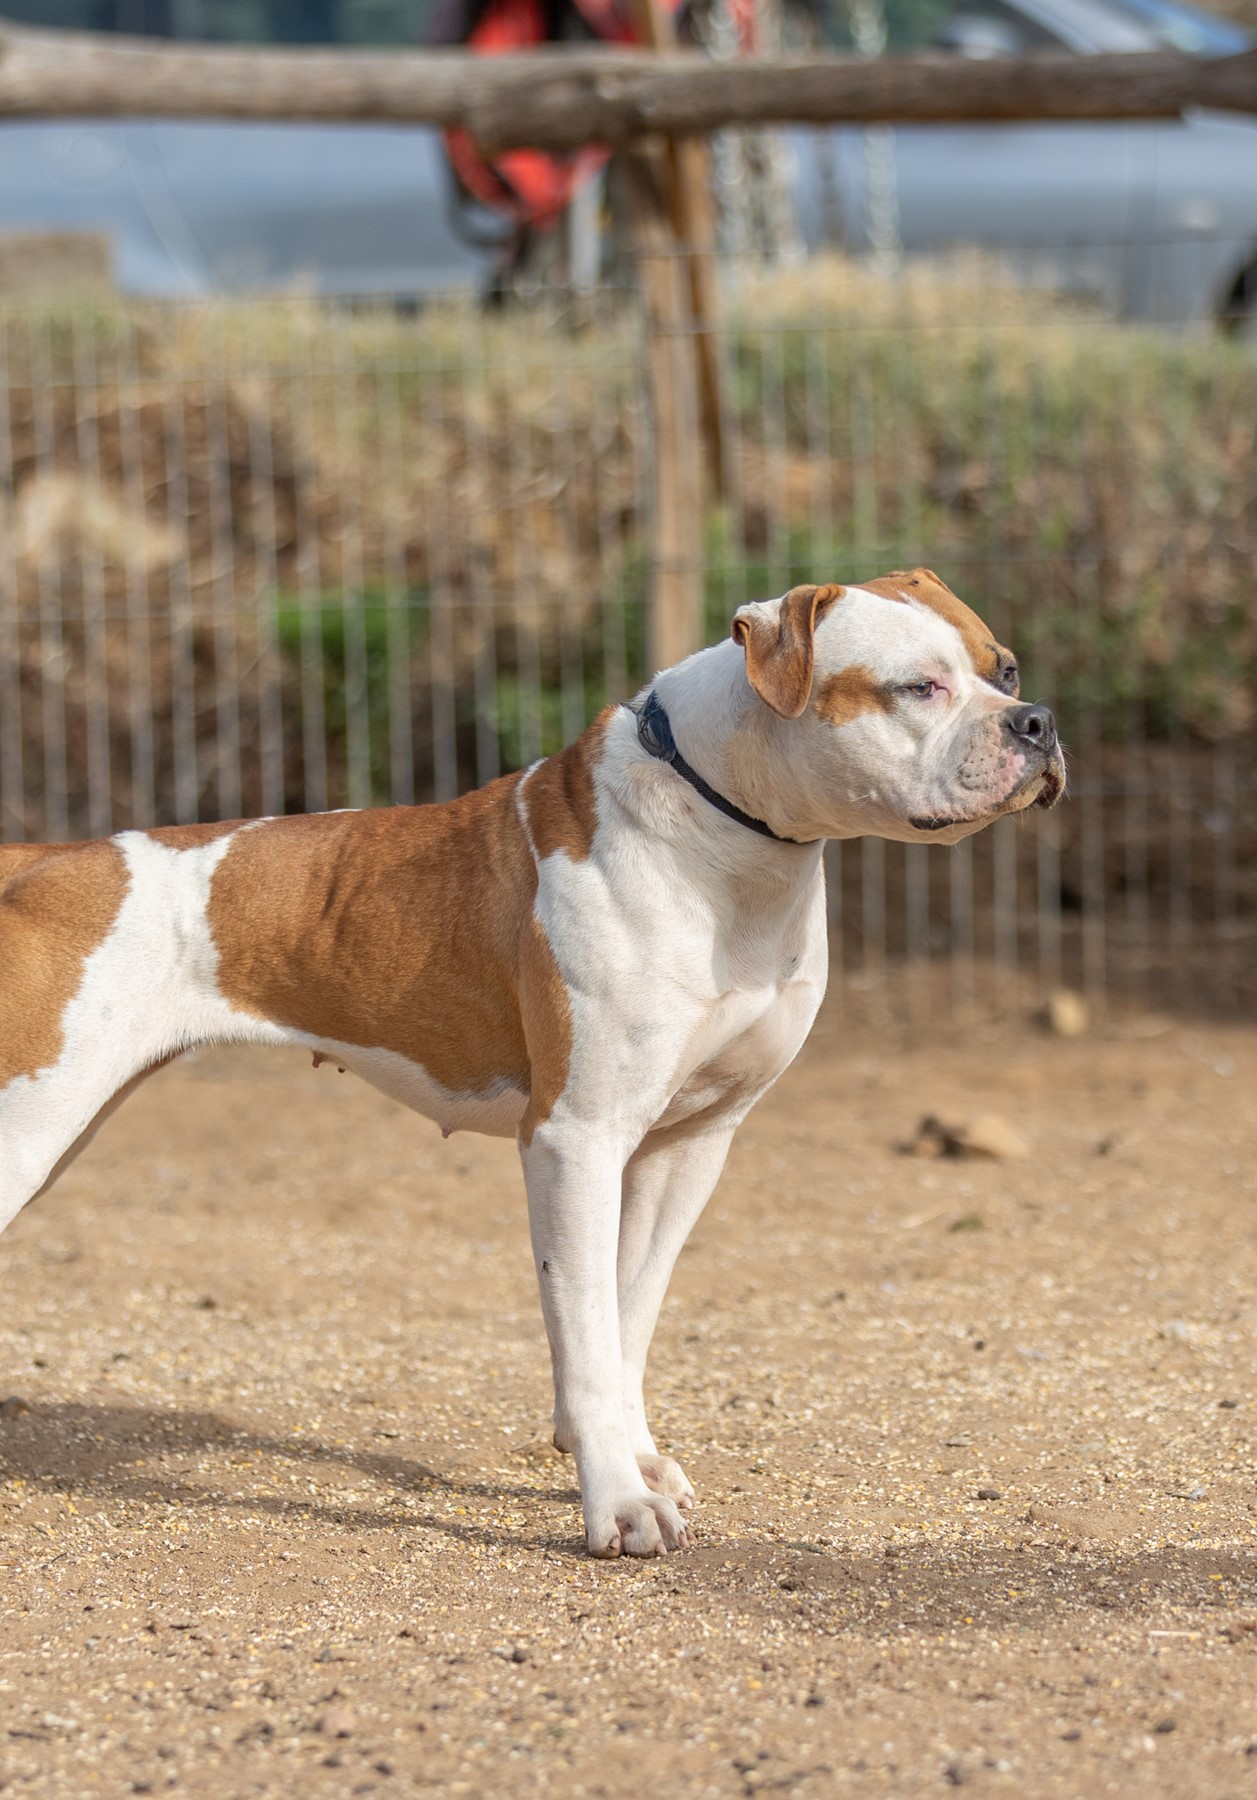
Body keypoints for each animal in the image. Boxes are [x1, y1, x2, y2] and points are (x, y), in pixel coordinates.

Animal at [0, 568, 1064, 1557]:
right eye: (916, 686)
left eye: (1005, 669)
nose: (1038, 723)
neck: (728, 837)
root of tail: (42, 860)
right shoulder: (574, 1141)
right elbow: (585, 1333)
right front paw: (617, 1504)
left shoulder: (689, 1144)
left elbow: (625, 1317)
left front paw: (630, 1458)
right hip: (29, 1128)